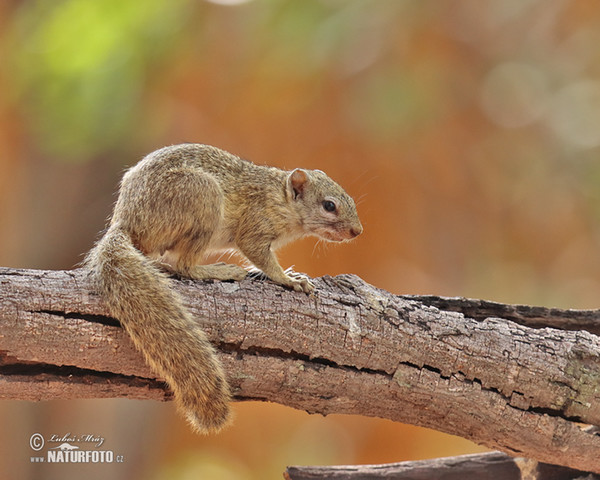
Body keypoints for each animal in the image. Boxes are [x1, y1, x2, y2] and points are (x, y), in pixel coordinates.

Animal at [84, 144, 360, 434]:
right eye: (329, 205)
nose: (357, 231)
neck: (281, 198)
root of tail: (125, 222)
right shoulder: (254, 226)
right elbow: (260, 256)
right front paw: (288, 279)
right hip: (202, 196)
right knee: (183, 265)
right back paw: (219, 271)